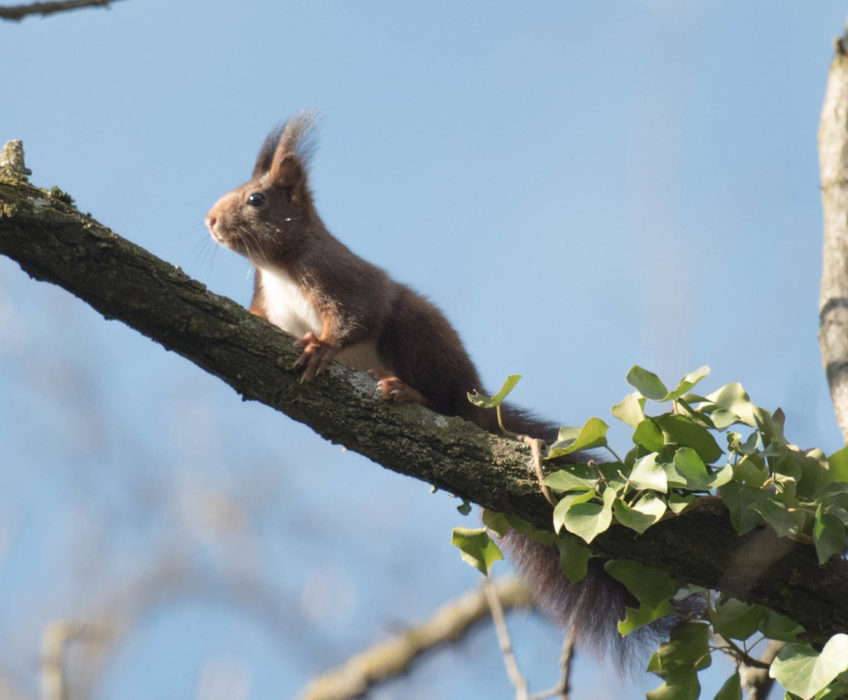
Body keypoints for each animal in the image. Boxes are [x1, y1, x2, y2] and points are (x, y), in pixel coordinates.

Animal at [207, 113, 644, 656]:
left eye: (256, 199)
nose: (210, 221)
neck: (277, 268)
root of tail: (480, 403)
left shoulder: (341, 279)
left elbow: (356, 316)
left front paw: (322, 348)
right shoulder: (267, 307)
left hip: (418, 334)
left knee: (447, 404)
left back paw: (408, 393)